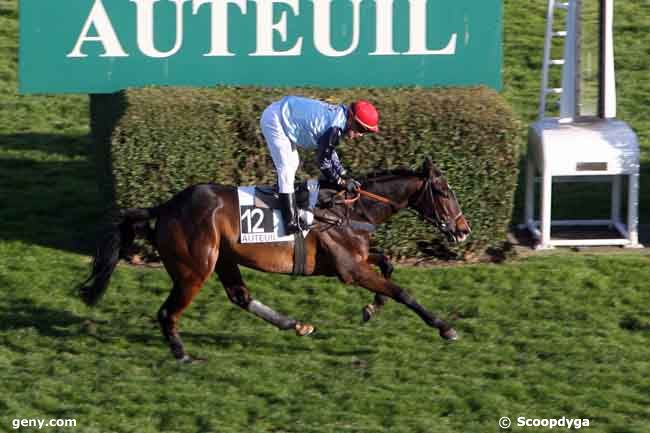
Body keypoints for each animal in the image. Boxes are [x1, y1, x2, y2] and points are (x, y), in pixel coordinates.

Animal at [78, 157, 468, 360]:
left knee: (240, 296)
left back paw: (296, 324)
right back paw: (181, 353)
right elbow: (402, 291)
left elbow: (387, 262)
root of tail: (166, 207)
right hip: (194, 270)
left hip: (223, 259)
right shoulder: (349, 269)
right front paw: (444, 327)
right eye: (442, 191)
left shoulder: (350, 259)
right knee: (166, 312)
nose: (463, 230)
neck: (349, 208)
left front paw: (371, 308)